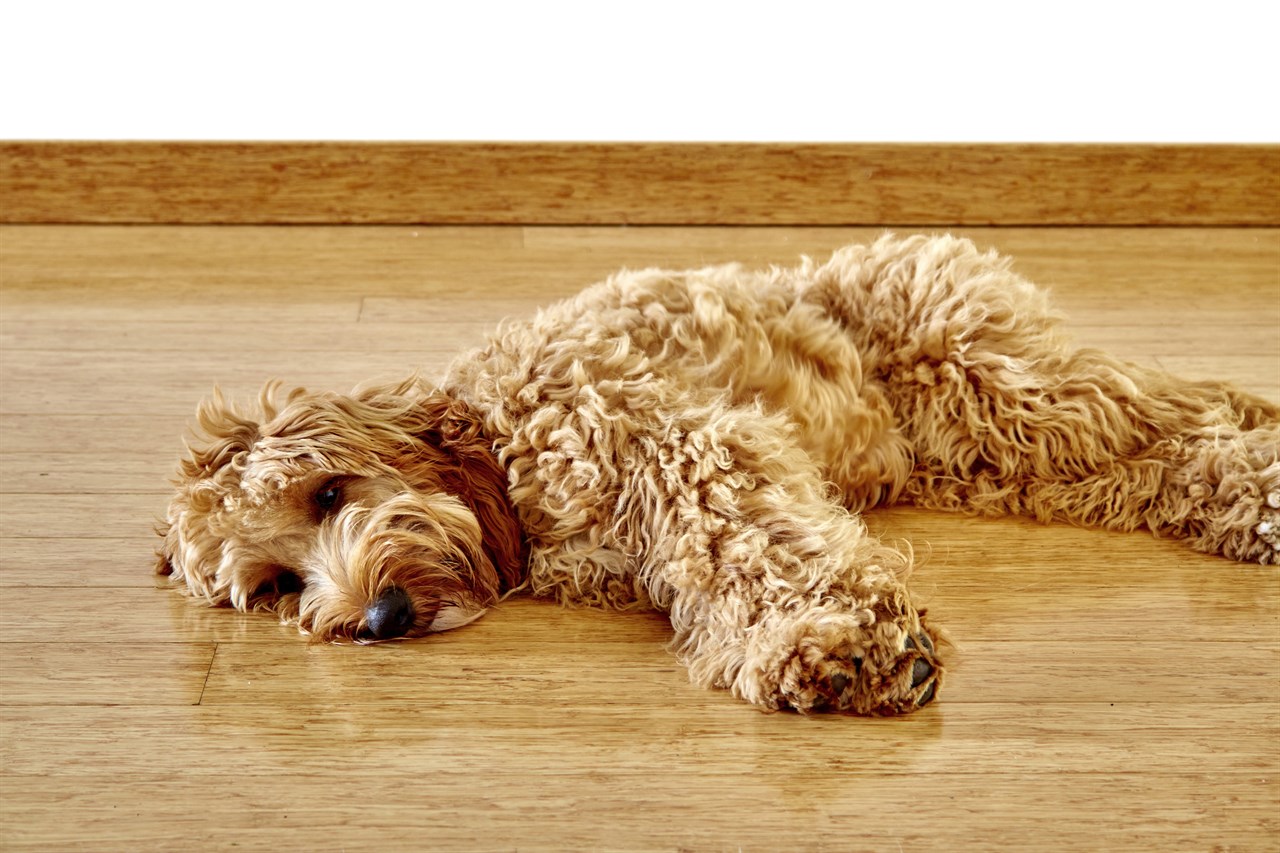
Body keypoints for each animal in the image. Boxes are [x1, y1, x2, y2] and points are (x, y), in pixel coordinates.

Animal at [160, 233, 1280, 712]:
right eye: (275, 584)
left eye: (329, 493)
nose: (380, 618)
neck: (503, 456)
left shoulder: (684, 447)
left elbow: (752, 544)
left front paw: (837, 646)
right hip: (993, 454)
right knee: (1161, 454)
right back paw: (1241, 504)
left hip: (1002, 387)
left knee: (1187, 411)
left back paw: (1264, 486)